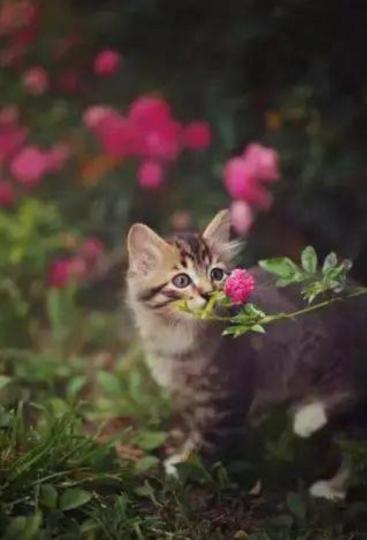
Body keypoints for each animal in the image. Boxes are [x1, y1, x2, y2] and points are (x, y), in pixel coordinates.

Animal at [126, 209, 367, 500]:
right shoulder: (187, 396)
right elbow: (191, 429)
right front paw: (179, 452)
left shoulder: (228, 401)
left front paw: (179, 468)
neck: (178, 336)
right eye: (181, 280)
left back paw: (314, 432)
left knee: (349, 395)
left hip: (323, 344)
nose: (208, 293)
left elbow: (206, 443)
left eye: (217, 274)